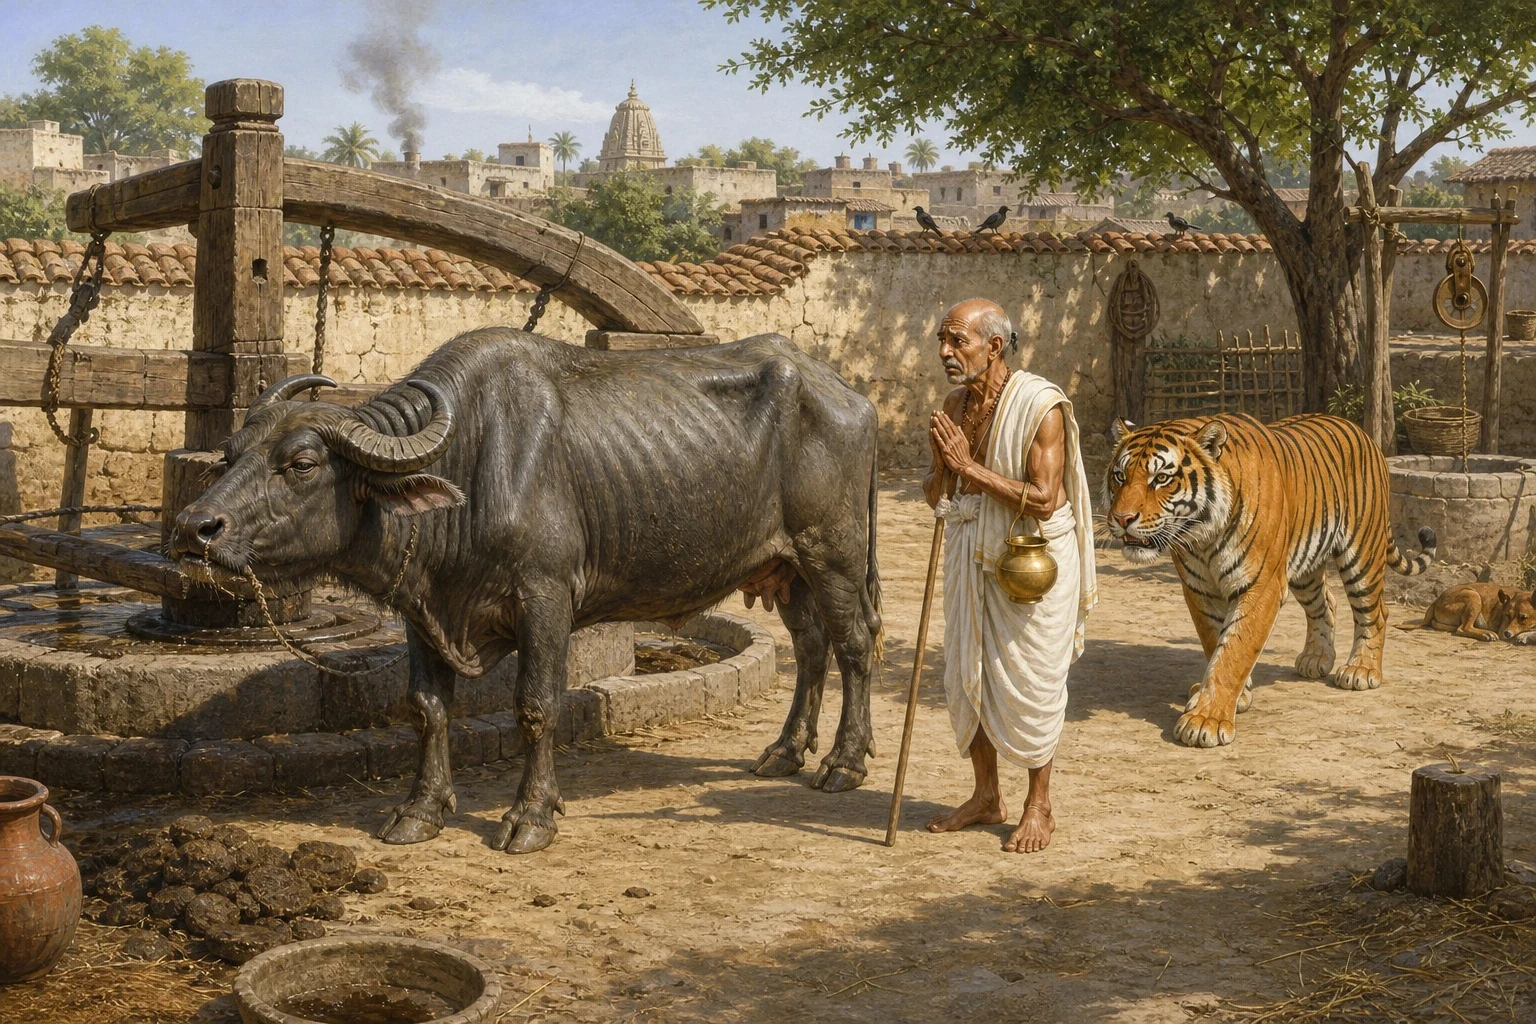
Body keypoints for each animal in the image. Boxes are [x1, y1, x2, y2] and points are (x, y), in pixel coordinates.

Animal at [170, 328, 882, 854]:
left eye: (302, 464)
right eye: (230, 454)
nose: (192, 528)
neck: (470, 467)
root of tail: (849, 397)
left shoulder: (545, 599)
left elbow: (536, 706)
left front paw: (531, 816)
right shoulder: (423, 612)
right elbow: (427, 707)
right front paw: (420, 810)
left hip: (834, 553)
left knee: (854, 645)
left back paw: (843, 763)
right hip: (786, 568)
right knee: (811, 647)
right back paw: (785, 751)